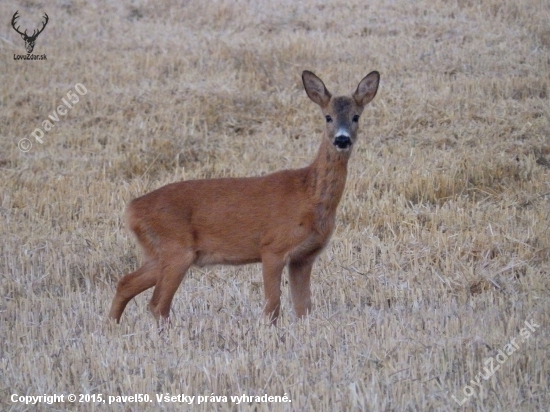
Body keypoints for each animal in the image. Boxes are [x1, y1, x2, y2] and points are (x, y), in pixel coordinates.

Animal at [110, 69, 382, 326]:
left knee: (125, 283)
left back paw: (111, 327)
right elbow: (273, 306)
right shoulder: (272, 248)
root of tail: (132, 209)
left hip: (158, 253)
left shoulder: (304, 257)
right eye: (328, 117)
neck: (308, 195)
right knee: (158, 303)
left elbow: (303, 308)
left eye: (356, 116)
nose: (342, 139)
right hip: (175, 248)